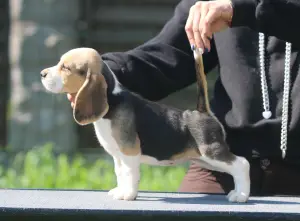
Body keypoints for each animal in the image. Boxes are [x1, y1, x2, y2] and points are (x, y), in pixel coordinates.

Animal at [40, 47, 251, 203]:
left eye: (66, 68)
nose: (42, 74)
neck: (112, 101)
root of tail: (203, 112)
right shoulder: (118, 156)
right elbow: (120, 173)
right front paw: (120, 191)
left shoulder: (129, 151)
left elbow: (130, 174)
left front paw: (128, 195)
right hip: (205, 160)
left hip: (211, 152)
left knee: (242, 164)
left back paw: (240, 195)